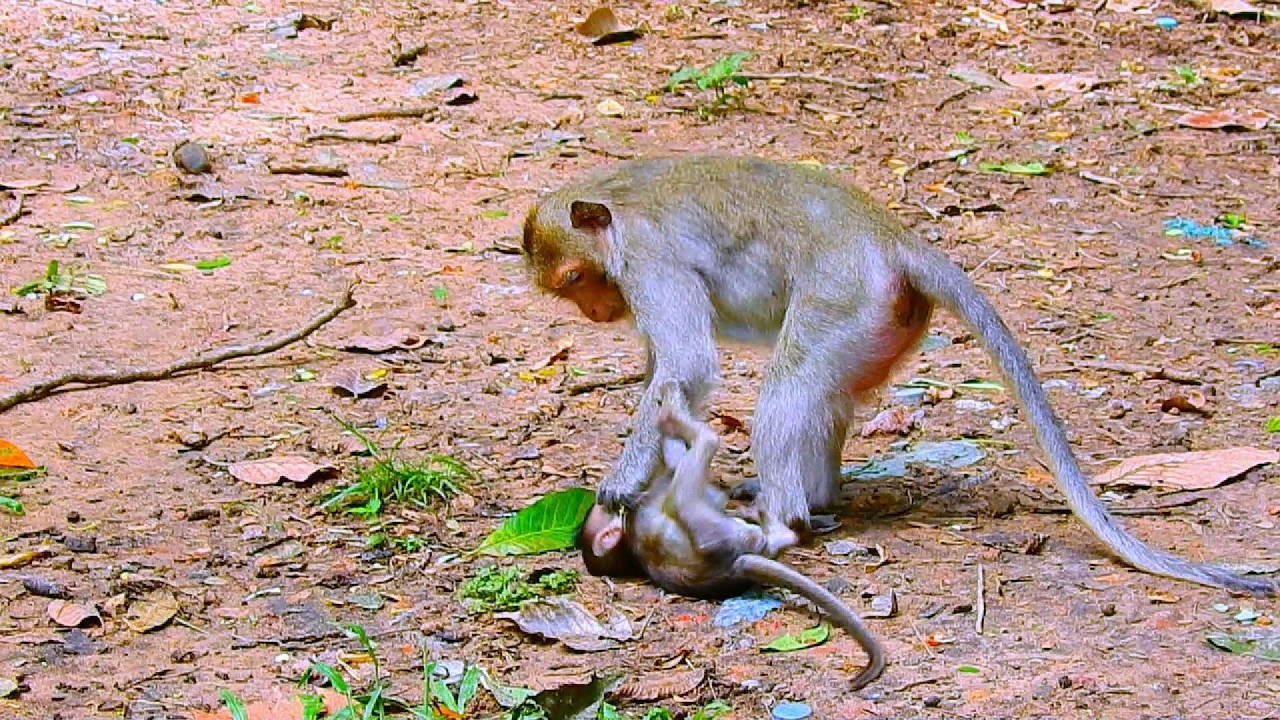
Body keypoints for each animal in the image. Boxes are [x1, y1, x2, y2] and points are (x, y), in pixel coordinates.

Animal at [522, 154, 1276, 597]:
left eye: (576, 278)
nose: (595, 311)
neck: (616, 202)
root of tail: (893, 239)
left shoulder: (648, 258)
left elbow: (686, 368)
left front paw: (620, 486)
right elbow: (668, 374)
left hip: (845, 295)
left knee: (787, 390)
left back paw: (785, 521)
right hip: (875, 321)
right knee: (823, 392)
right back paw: (813, 499)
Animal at [579, 379, 887, 690]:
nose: (613, 505)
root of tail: (735, 565)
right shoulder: (648, 510)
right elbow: (680, 473)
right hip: (711, 534)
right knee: (697, 465)